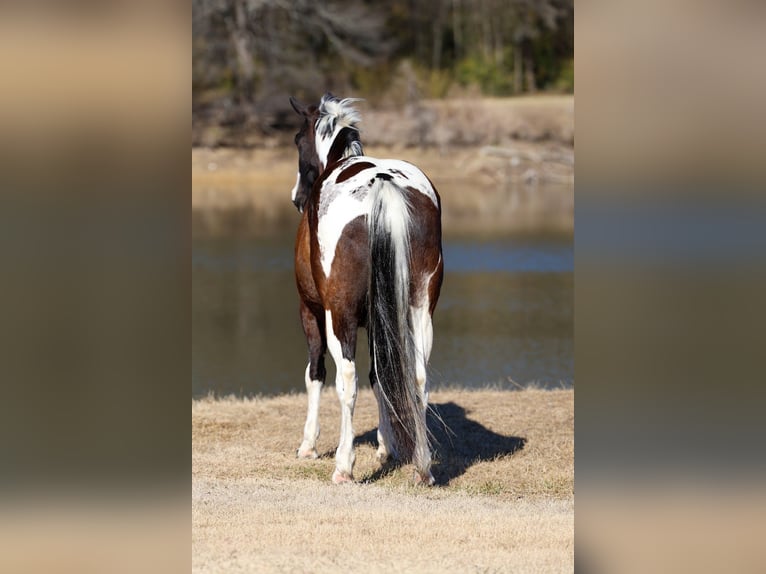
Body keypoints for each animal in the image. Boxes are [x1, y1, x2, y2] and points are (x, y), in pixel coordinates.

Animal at [288, 93, 443, 485]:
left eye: (298, 140)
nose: (297, 198)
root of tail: (383, 182)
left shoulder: (310, 311)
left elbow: (315, 374)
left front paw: (308, 445)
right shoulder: (379, 320)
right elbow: (380, 378)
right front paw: (386, 447)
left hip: (338, 315)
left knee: (347, 380)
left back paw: (343, 466)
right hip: (419, 311)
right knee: (417, 376)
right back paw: (422, 467)